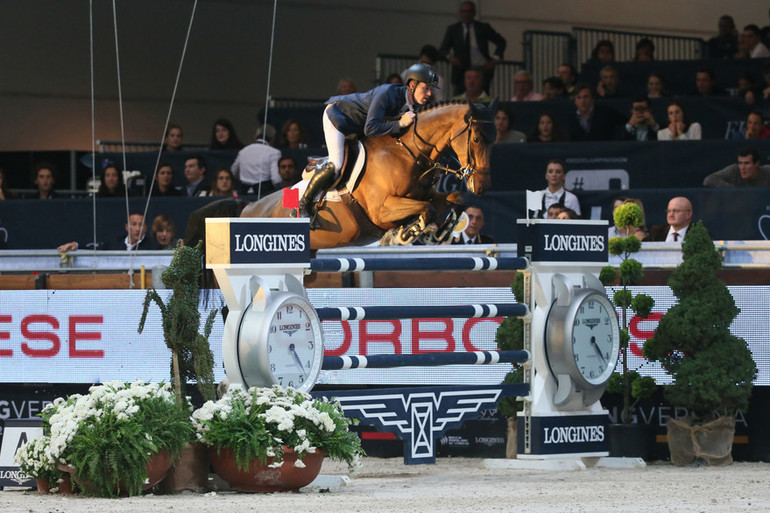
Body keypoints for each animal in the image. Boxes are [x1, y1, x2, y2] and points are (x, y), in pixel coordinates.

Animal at [237, 99, 496, 248]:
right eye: (476, 139)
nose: (482, 186)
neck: (406, 153)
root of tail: (248, 209)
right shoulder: (381, 210)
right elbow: (427, 209)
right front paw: (406, 233)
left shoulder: (426, 195)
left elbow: (454, 199)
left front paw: (440, 233)